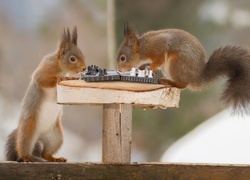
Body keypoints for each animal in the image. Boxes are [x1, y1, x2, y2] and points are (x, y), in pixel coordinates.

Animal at [4, 26, 87, 162]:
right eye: (72, 58)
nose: (84, 68)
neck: (60, 66)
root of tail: (40, 136)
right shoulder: (45, 68)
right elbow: (42, 79)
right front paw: (61, 79)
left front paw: (71, 78)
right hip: (28, 132)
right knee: (23, 147)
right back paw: (26, 157)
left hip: (55, 137)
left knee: (45, 154)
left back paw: (55, 158)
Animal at [116, 23, 250, 114]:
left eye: (123, 58)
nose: (119, 70)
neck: (141, 49)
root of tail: (196, 77)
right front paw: (146, 67)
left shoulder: (157, 46)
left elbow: (159, 59)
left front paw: (151, 66)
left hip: (177, 62)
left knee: (182, 85)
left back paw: (167, 81)